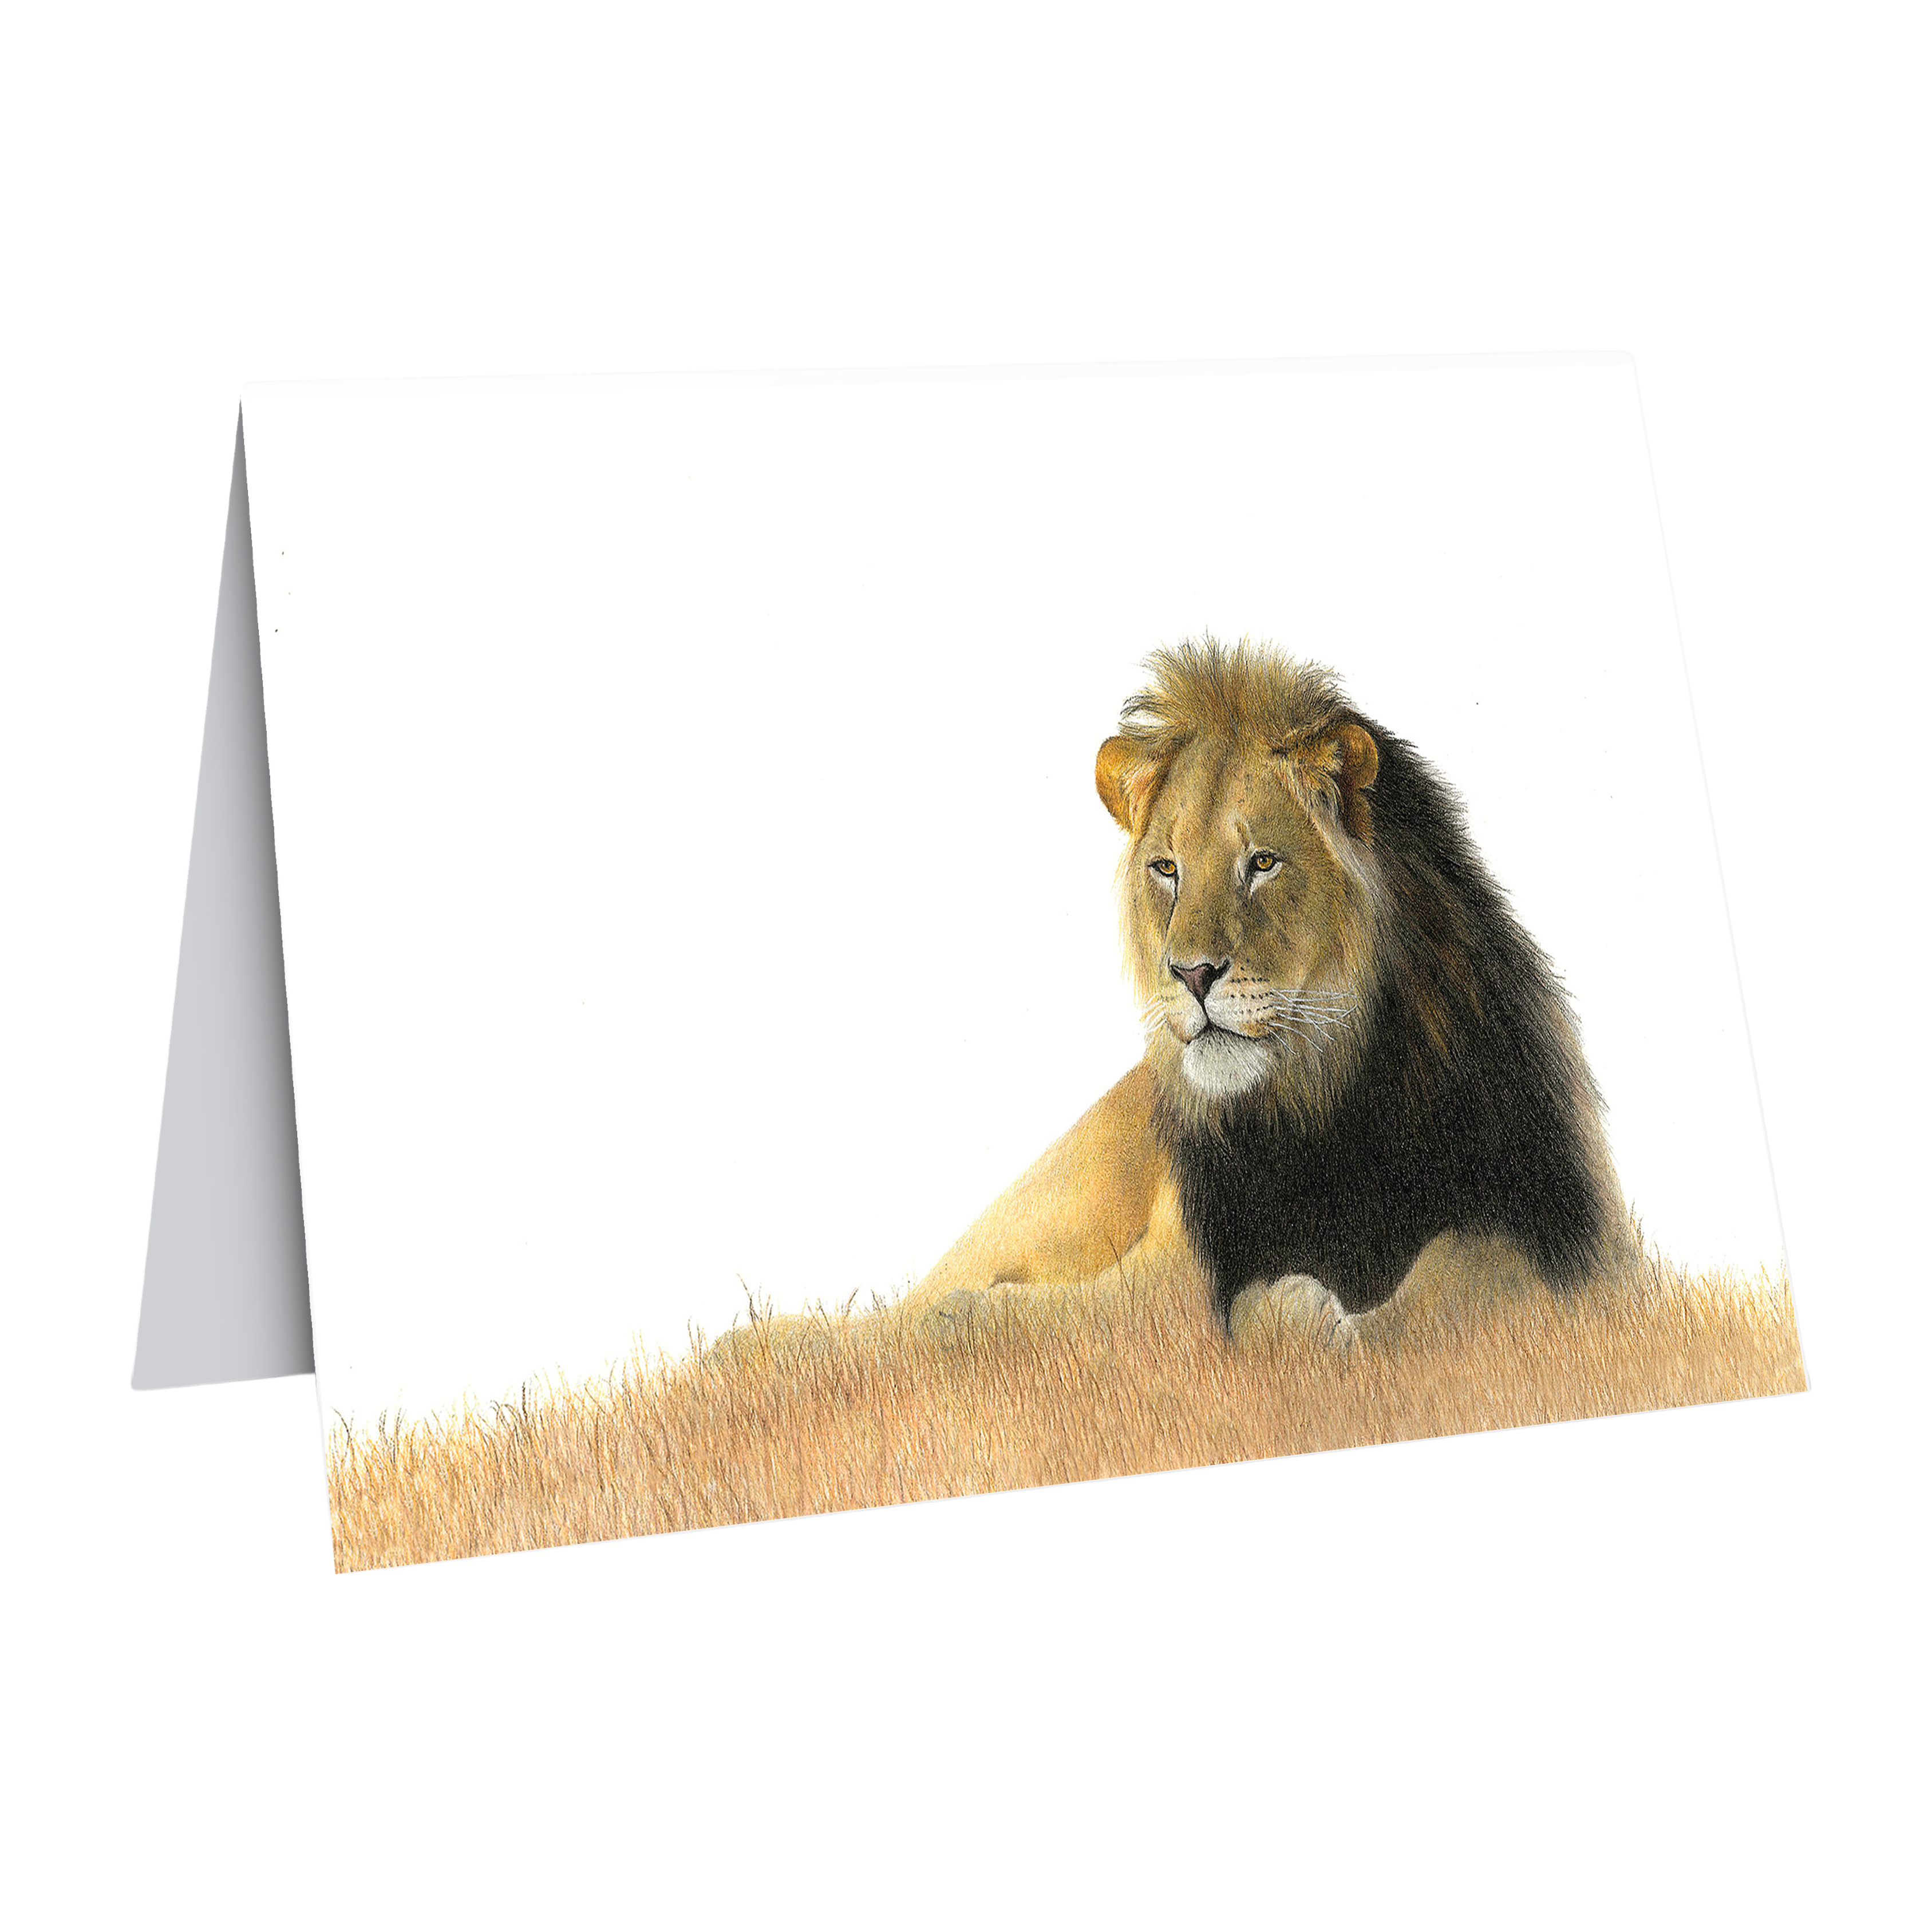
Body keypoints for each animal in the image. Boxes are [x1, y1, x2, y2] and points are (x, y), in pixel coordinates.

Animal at [906, 635, 1627, 1350]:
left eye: (1262, 863)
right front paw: (1289, 1314)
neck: (1320, 1102)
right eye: (1167, 869)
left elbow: (1465, 1278)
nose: (1192, 974)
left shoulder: (1561, 1228)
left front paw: (1322, 1321)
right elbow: (1133, 1311)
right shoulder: (1192, 1261)